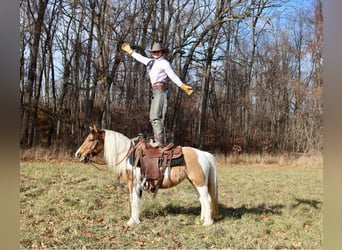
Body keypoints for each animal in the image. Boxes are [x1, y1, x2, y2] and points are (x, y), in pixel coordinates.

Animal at [75, 126, 219, 226]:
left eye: (90, 139)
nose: (78, 154)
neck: (128, 155)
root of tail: (204, 154)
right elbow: (135, 201)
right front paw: (135, 220)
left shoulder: (133, 184)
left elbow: (133, 202)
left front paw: (131, 222)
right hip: (195, 183)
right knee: (202, 200)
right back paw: (202, 219)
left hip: (200, 183)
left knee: (207, 199)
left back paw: (207, 223)